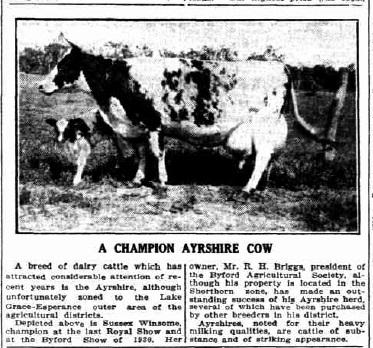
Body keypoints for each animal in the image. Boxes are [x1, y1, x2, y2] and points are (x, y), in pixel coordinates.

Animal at [37, 41, 322, 196]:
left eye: (63, 64)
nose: (40, 85)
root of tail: (280, 65)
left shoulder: (153, 123)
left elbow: (157, 153)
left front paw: (162, 182)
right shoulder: (137, 125)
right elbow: (142, 153)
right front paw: (137, 179)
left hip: (263, 125)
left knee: (263, 157)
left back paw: (248, 188)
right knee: (270, 157)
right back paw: (260, 185)